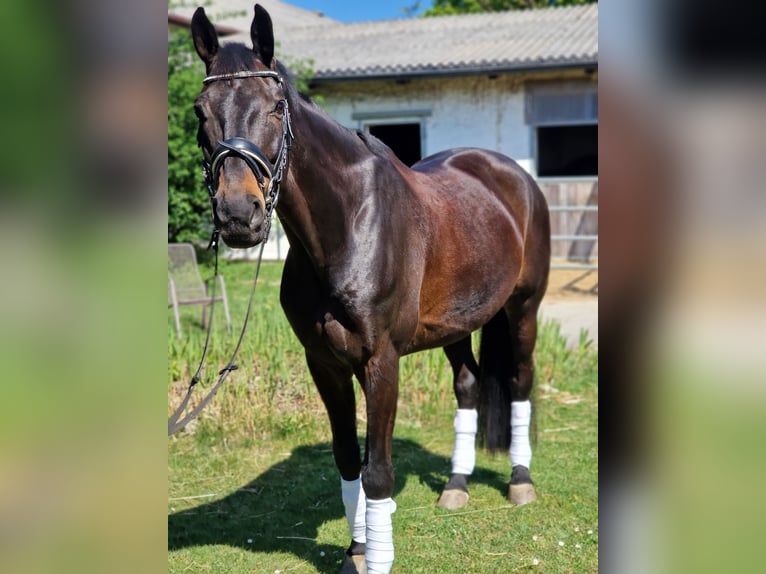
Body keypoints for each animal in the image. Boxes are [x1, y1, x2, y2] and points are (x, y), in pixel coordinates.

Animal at [189, 5, 550, 573]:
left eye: (276, 107)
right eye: (201, 111)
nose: (238, 215)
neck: (348, 226)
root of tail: (510, 173)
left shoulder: (382, 361)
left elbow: (378, 471)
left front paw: (375, 558)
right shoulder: (325, 363)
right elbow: (347, 461)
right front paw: (356, 552)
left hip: (524, 309)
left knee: (518, 381)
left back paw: (520, 481)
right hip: (456, 325)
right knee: (469, 385)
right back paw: (456, 485)